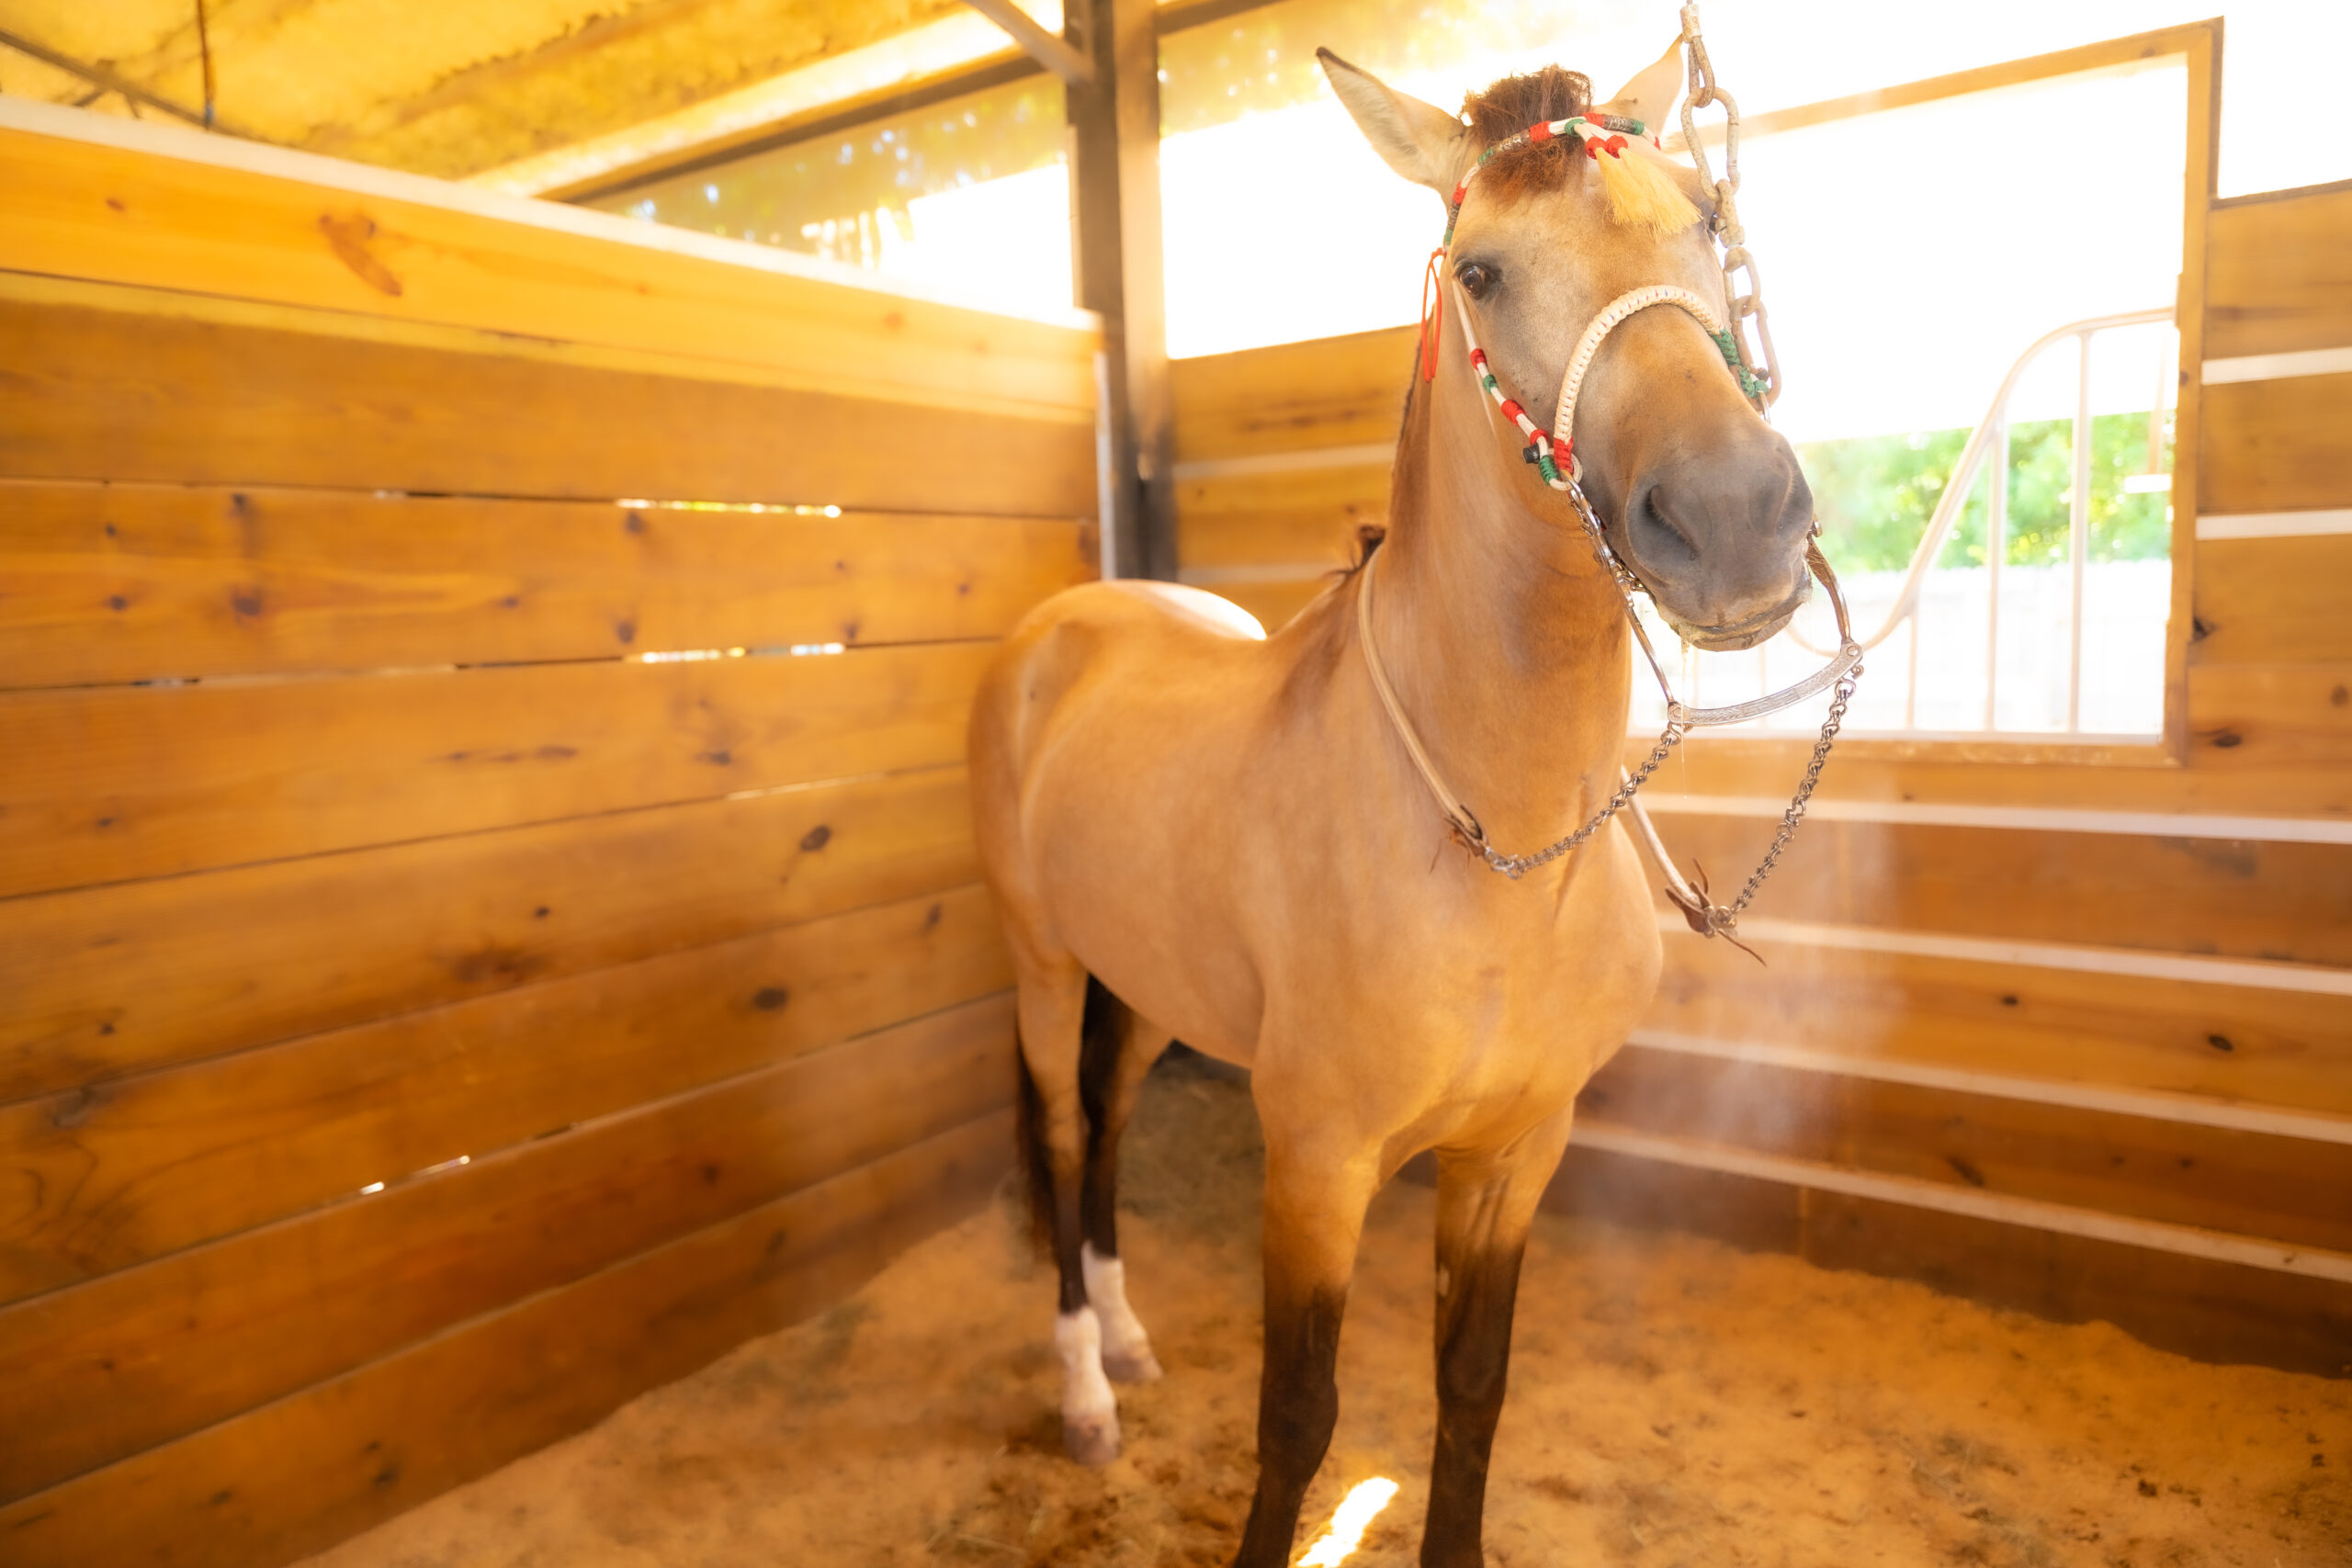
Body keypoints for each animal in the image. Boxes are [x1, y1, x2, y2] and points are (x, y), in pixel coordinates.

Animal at [967, 39, 1819, 1568]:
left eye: (1708, 213)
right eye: (1479, 269)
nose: (1734, 522)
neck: (1503, 851)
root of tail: (1061, 627)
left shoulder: (1515, 1152)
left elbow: (1471, 1388)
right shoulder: (1316, 1163)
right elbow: (1297, 1419)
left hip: (1149, 985)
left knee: (1110, 1129)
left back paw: (1125, 1337)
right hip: (1045, 964)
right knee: (1063, 1140)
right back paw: (1084, 1392)